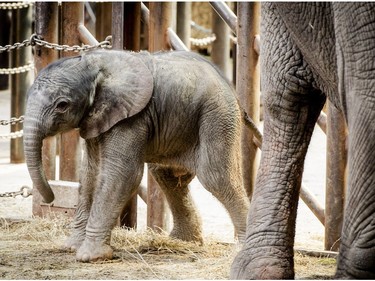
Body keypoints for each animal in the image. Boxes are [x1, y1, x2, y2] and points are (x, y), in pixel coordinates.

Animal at [22, 49, 248, 262]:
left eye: (62, 105)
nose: (50, 198)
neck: (94, 62)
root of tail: (227, 80)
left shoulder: (131, 117)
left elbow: (122, 174)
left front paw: (90, 256)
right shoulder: (97, 117)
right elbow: (90, 173)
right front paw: (71, 247)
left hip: (217, 115)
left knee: (216, 177)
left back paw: (242, 247)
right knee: (166, 176)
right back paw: (182, 242)